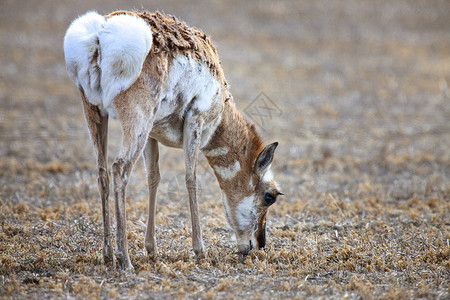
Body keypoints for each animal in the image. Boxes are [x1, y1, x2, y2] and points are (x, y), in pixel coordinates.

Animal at [64, 10, 282, 270]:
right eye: (270, 196)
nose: (259, 244)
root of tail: (100, 33)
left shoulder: (152, 134)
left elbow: (153, 178)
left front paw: (151, 249)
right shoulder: (195, 120)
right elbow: (191, 178)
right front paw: (200, 251)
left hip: (97, 114)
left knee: (102, 172)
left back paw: (107, 255)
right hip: (136, 121)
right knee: (119, 168)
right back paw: (124, 259)